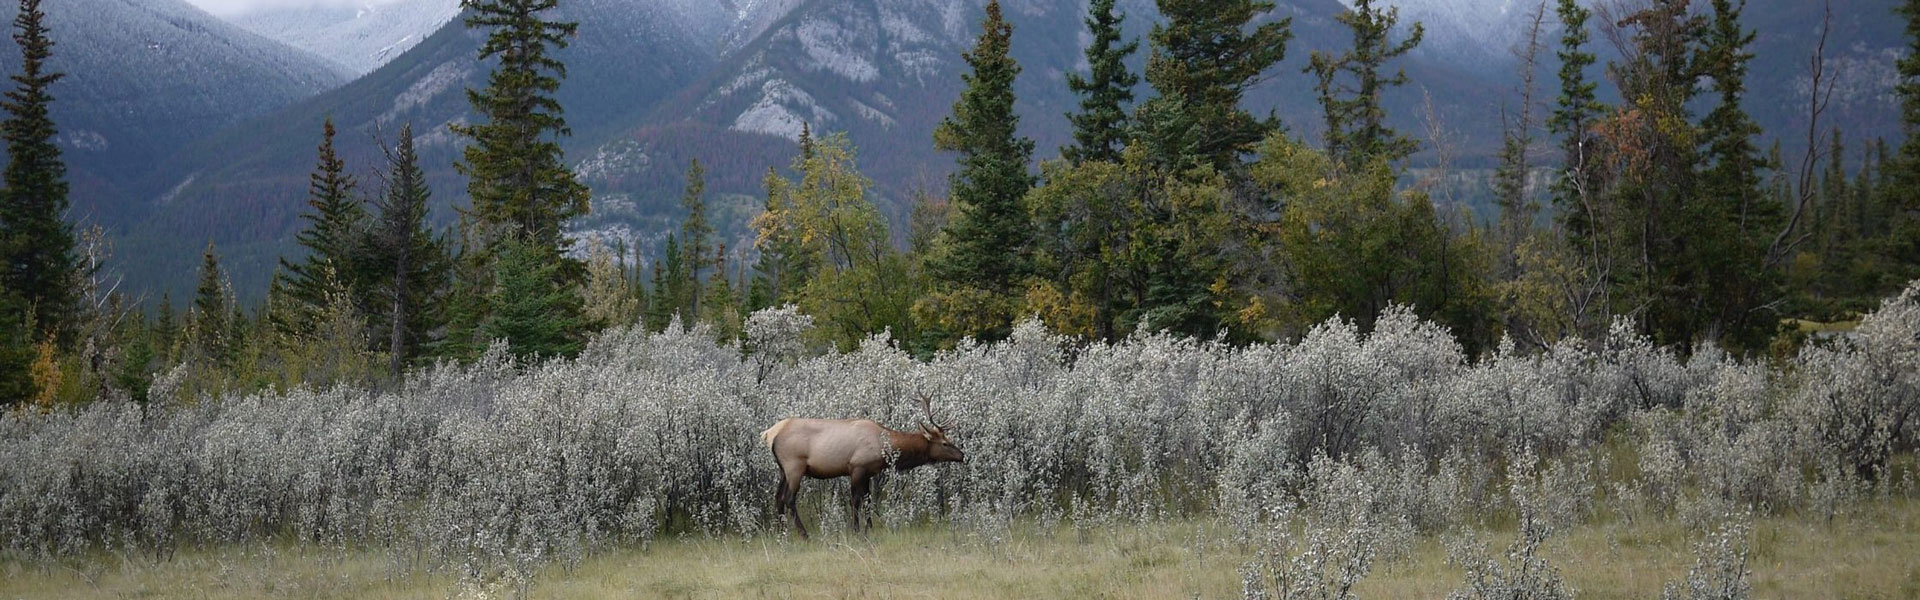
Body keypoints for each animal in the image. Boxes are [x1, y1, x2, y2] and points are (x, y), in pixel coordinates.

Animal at [760, 394, 967, 538]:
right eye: (945, 443)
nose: (962, 455)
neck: (885, 447)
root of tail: (769, 433)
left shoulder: (868, 472)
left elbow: (867, 500)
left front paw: (869, 527)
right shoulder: (857, 467)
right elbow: (856, 500)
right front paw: (856, 529)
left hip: (783, 469)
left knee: (777, 497)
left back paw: (782, 532)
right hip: (794, 466)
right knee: (788, 498)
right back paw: (803, 534)